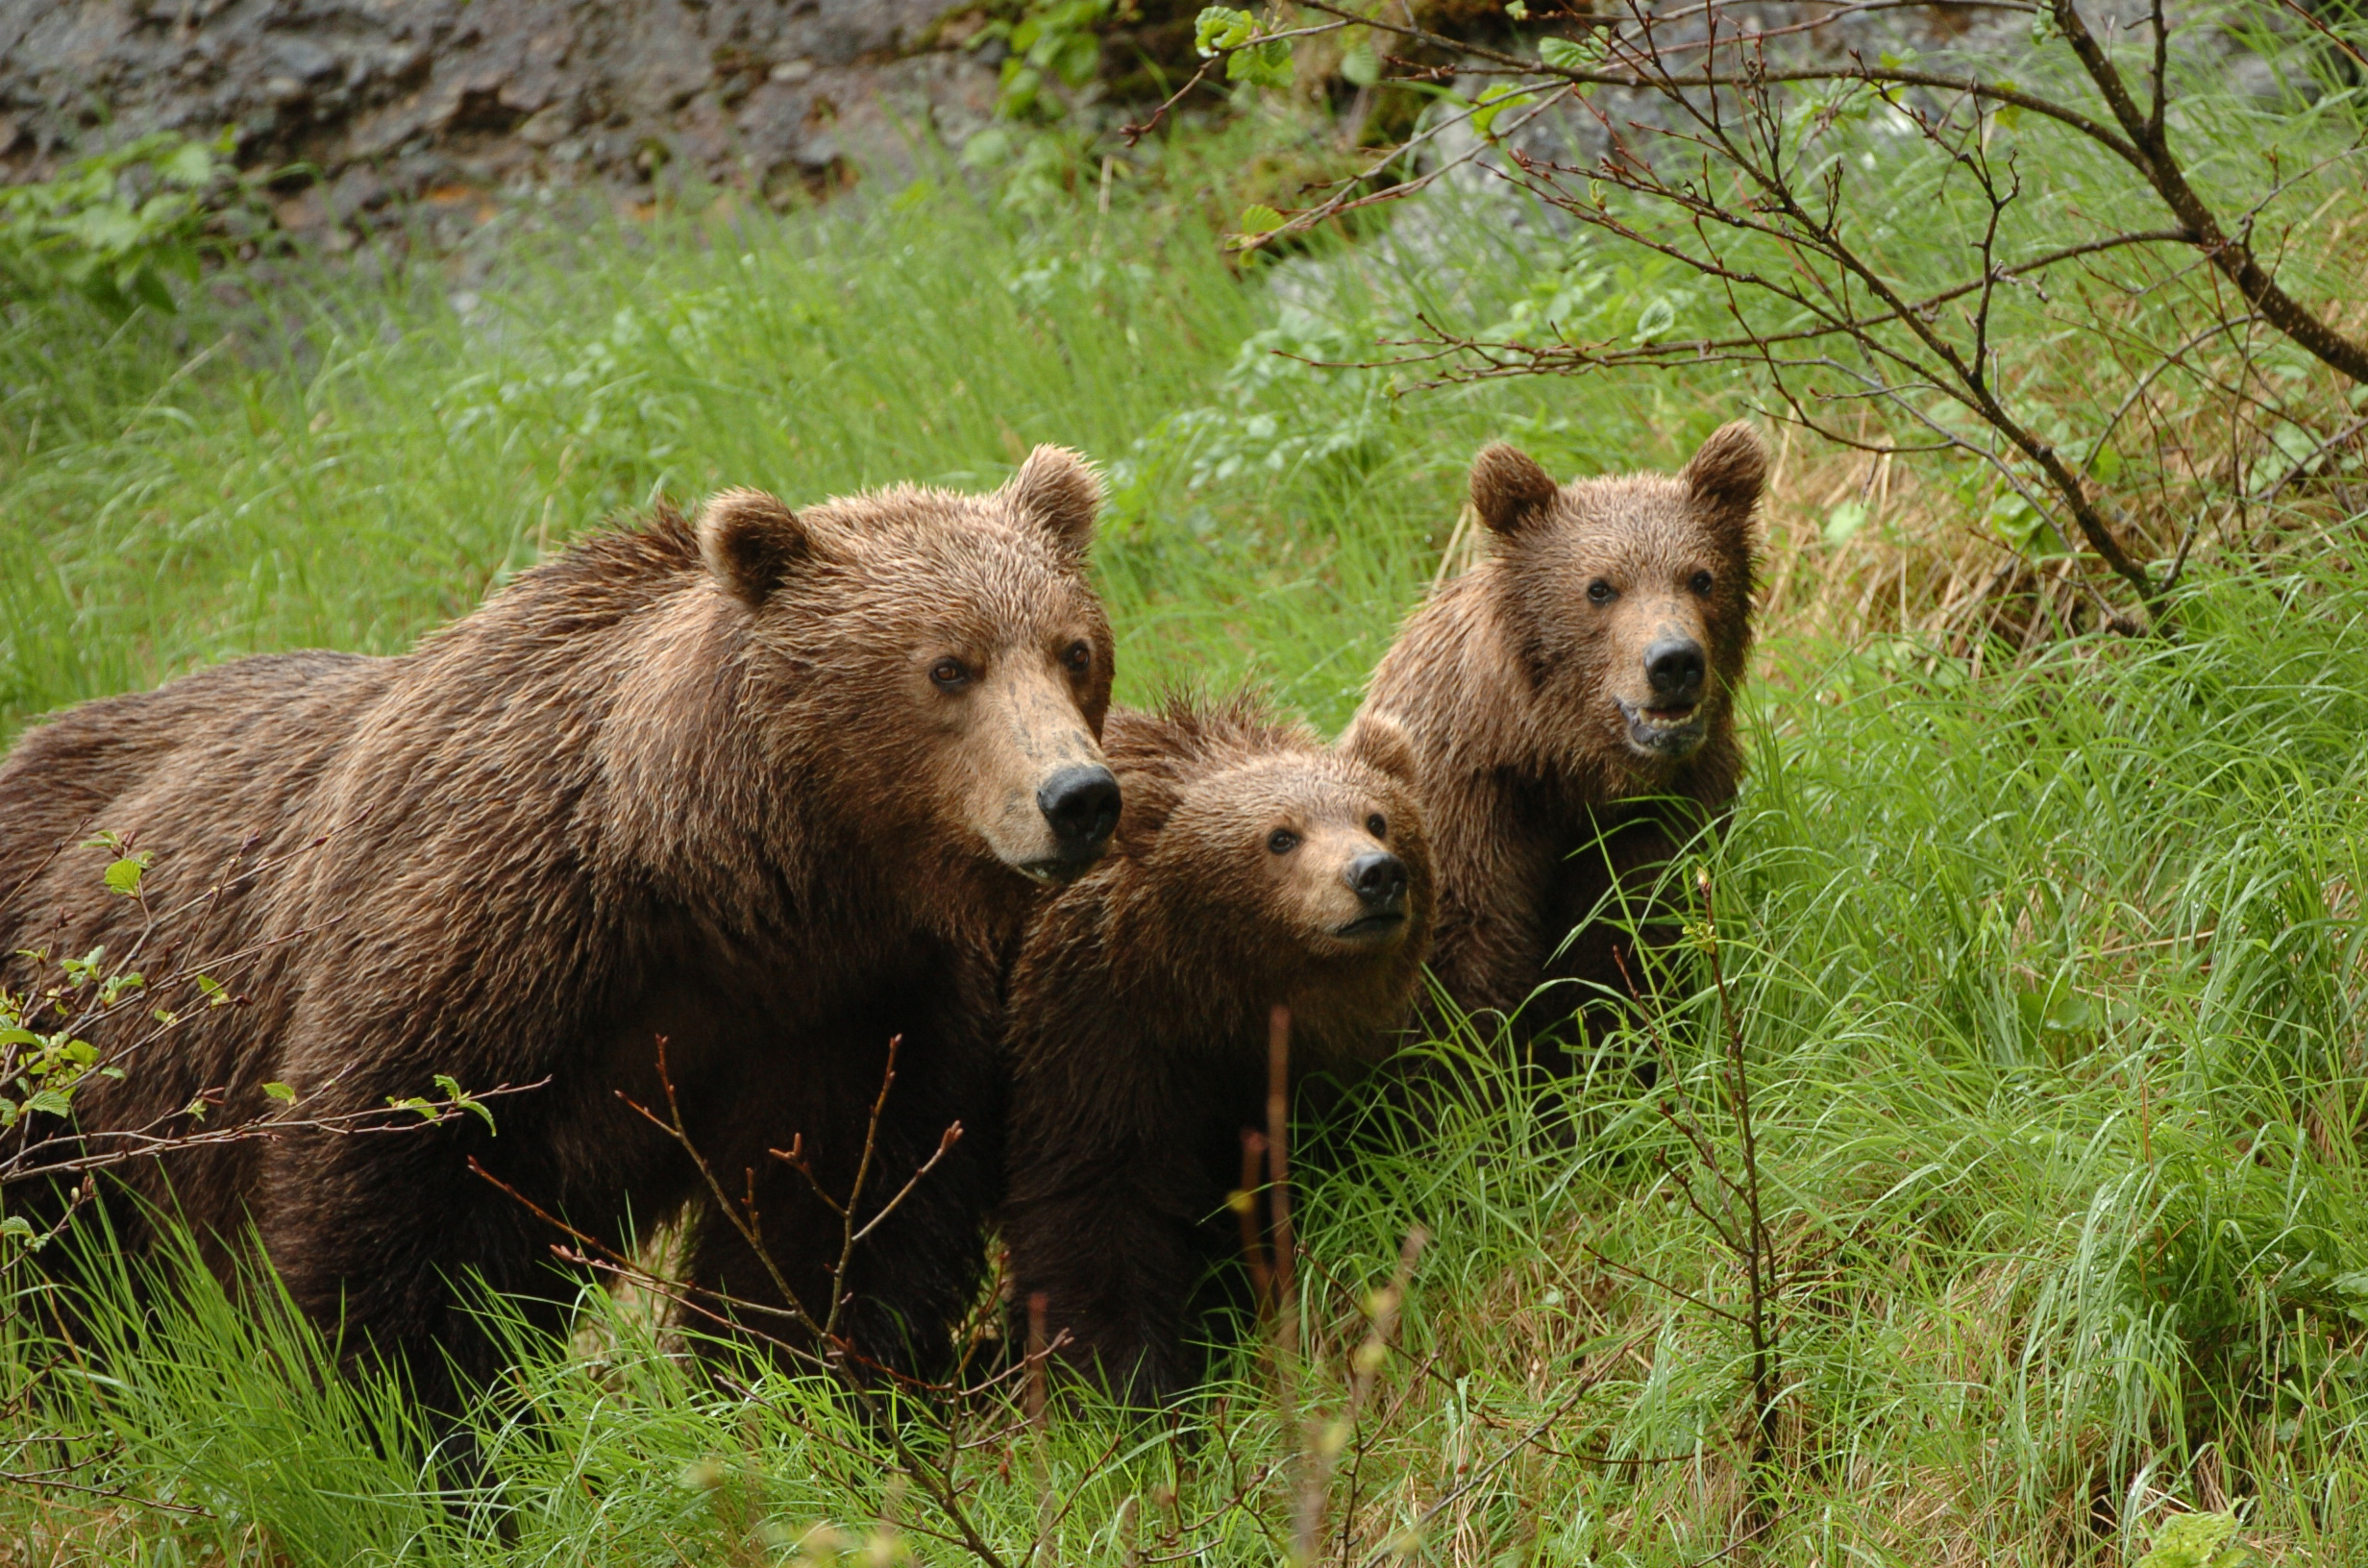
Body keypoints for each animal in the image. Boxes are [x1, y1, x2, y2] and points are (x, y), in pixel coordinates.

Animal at [0, 445, 1126, 1411]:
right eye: (948, 667)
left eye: (1072, 650)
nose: (1076, 796)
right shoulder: (479, 949)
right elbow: (397, 1221)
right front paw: (431, 1432)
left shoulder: (852, 1009)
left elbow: (838, 1229)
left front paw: (803, 1392)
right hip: (60, 1060)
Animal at [994, 696, 1430, 1402]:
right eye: (1281, 836)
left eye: (1379, 819)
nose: (1376, 875)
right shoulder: (1095, 1037)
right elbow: (1094, 1205)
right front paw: (1129, 1383)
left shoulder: (1309, 1070)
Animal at [1354, 424, 1762, 1061]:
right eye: (1599, 588)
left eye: (1702, 577)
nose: (1674, 661)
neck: (1561, 762)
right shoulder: (1465, 809)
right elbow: (1462, 974)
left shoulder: (1663, 815)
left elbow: (1630, 945)